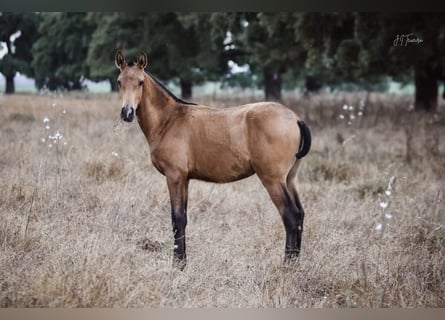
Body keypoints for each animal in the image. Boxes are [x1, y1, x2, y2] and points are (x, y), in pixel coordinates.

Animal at [115, 52, 308, 268]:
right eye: (119, 82)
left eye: (140, 82)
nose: (127, 113)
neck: (170, 120)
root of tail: (296, 118)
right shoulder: (185, 179)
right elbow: (183, 219)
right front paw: (183, 262)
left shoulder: (174, 176)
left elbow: (177, 219)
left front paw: (178, 264)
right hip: (290, 179)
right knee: (300, 215)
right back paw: (296, 265)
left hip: (273, 180)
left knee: (290, 216)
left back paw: (287, 266)